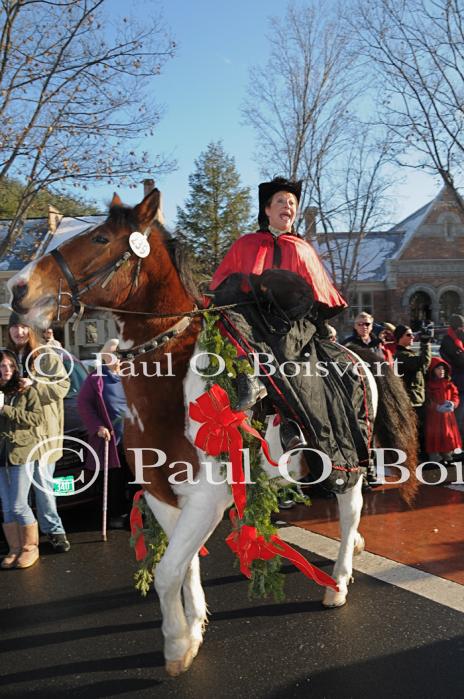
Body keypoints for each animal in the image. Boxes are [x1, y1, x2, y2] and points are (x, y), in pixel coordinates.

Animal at [7, 190, 418, 680]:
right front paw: (192, 629)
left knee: (350, 508)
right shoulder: (164, 496)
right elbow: (183, 569)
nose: (18, 289)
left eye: (101, 238)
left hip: (346, 460)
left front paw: (175, 644)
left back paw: (337, 582)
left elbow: (166, 572)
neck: (173, 389)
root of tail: (359, 353)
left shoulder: (207, 499)